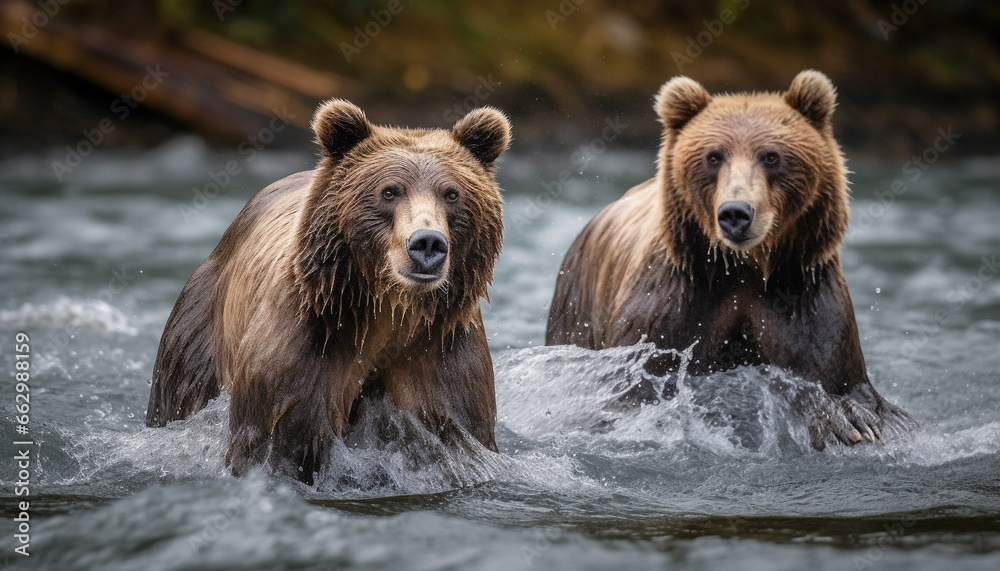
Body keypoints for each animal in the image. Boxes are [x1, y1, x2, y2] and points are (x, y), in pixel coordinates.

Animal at [145, 98, 512, 482]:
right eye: (389, 191)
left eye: (452, 194)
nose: (427, 243)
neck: (387, 313)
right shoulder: (307, 345)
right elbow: (278, 440)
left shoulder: (439, 354)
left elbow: (450, 431)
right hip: (199, 331)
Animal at [548, 70, 916, 446]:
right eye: (713, 156)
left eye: (771, 156)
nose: (736, 212)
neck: (744, 268)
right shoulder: (672, 305)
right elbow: (639, 381)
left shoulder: (802, 297)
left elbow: (833, 376)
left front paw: (856, 423)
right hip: (576, 307)